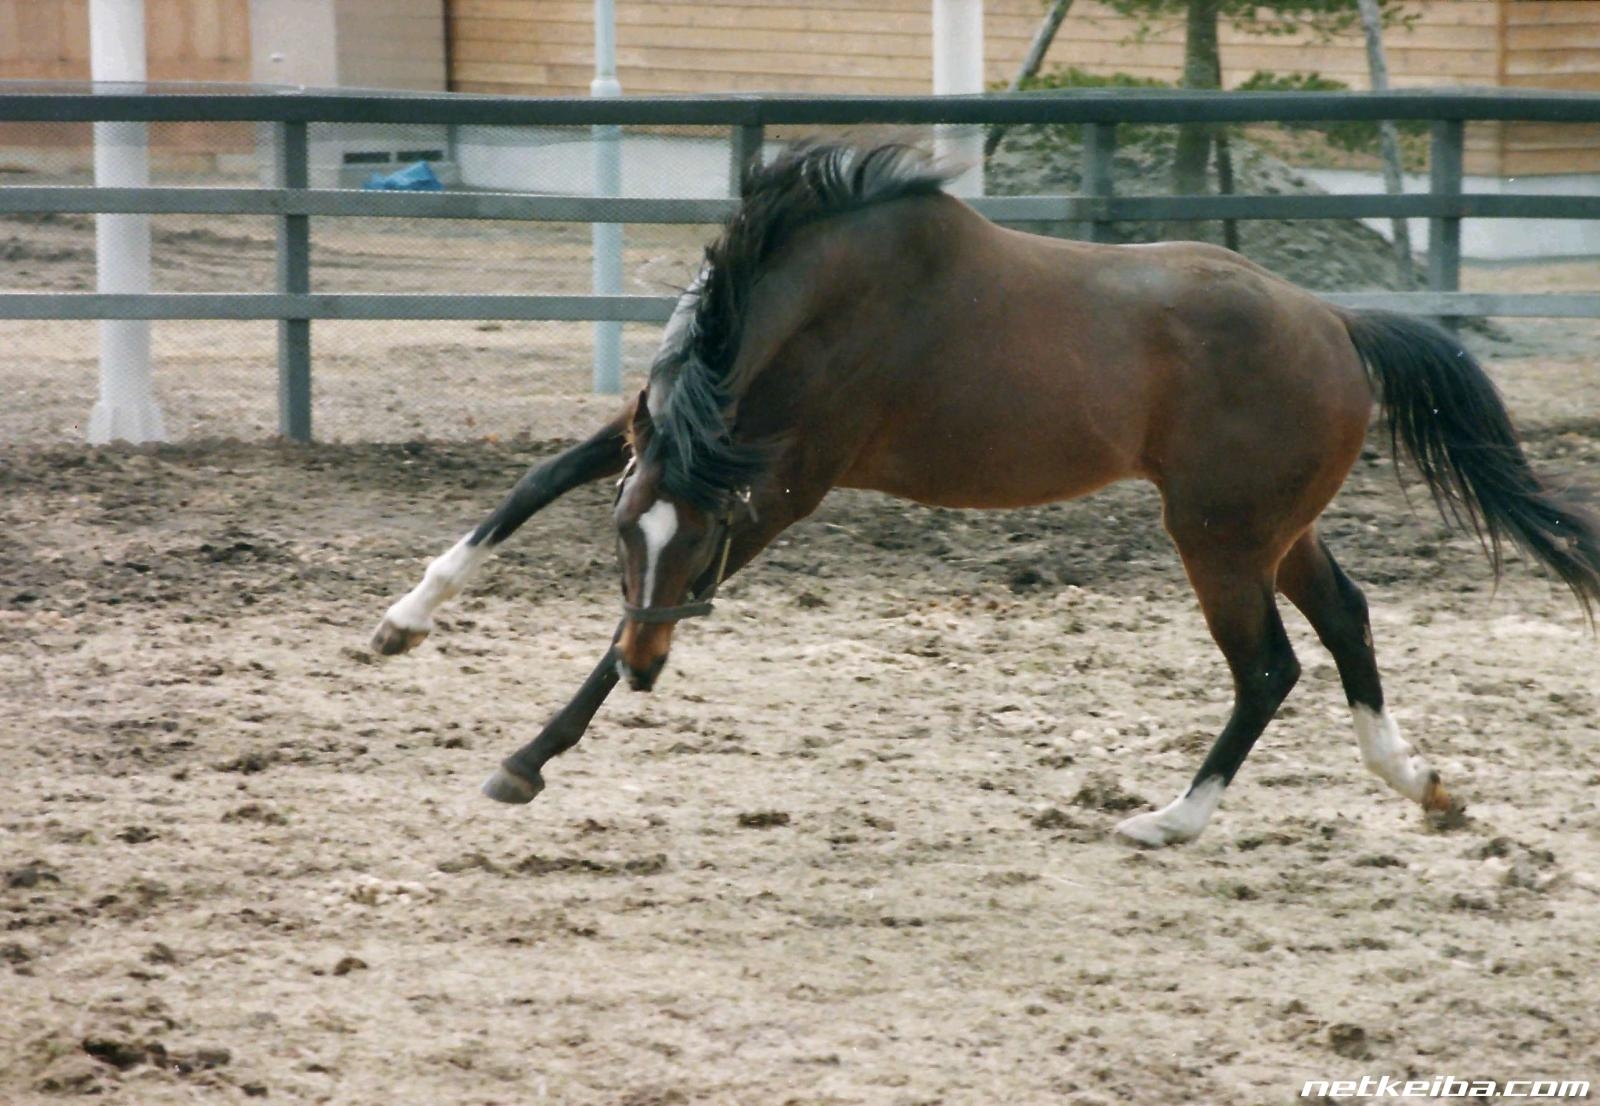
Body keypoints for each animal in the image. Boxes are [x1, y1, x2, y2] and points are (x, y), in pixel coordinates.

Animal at [372, 141, 1600, 847]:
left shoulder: (783, 486)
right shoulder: (682, 438)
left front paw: (527, 758)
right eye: (625, 533)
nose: (646, 669)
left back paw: (1170, 819)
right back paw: (1419, 783)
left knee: (1267, 667)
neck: (821, 302)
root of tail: (1339, 324)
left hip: (1215, 535)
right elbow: (534, 480)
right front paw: (400, 621)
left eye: (702, 542)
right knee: (1345, 618)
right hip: (1272, 529)